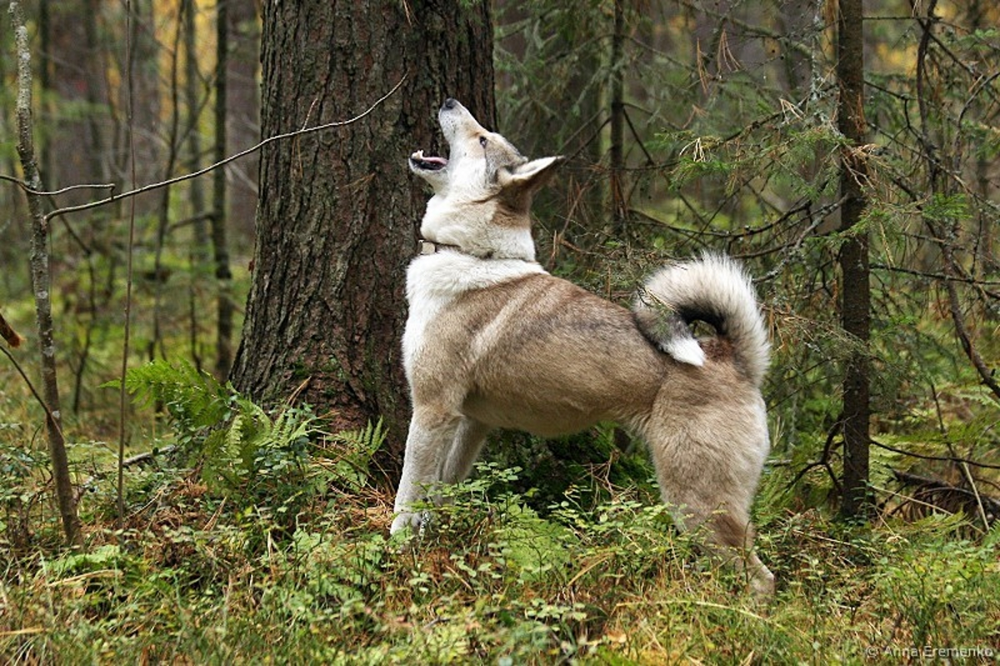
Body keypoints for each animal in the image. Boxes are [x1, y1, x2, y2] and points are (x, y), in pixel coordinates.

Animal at [390, 97, 772, 592]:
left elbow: (407, 496)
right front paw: (431, 542)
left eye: (482, 140)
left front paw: (396, 552)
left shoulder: (432, 410)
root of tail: (734, 359)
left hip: (696, 501)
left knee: (761, 579)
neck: (472, 255)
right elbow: (440, 492)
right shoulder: (470, 422)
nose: (450, 101)